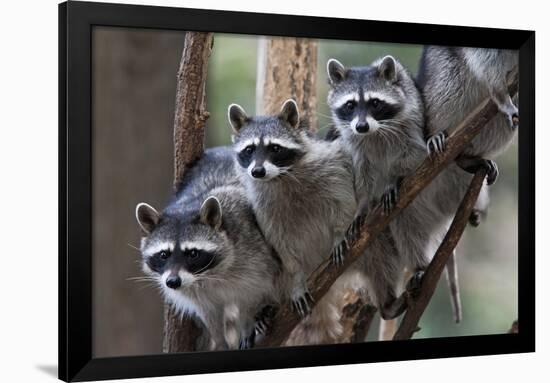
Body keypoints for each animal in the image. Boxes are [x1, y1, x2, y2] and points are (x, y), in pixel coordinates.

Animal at [134, 147, 280, 352]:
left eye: (193, 253)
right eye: (164, 254)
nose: (173, 282)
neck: (208, 274)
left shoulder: (253, 254)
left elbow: (250, 294)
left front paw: (247, 323)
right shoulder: (194, 291)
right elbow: (210, 313)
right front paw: (219, 340)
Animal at [328, 56, 466, 320]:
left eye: (375, 103)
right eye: (350, 105)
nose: (361, 126)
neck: (373, 131)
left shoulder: (410, 122)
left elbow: (412, 156)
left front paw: (394, 179)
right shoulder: (353, 142)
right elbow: (361, 172)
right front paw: (363, 204)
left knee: (406, 220)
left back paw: (418, 267)